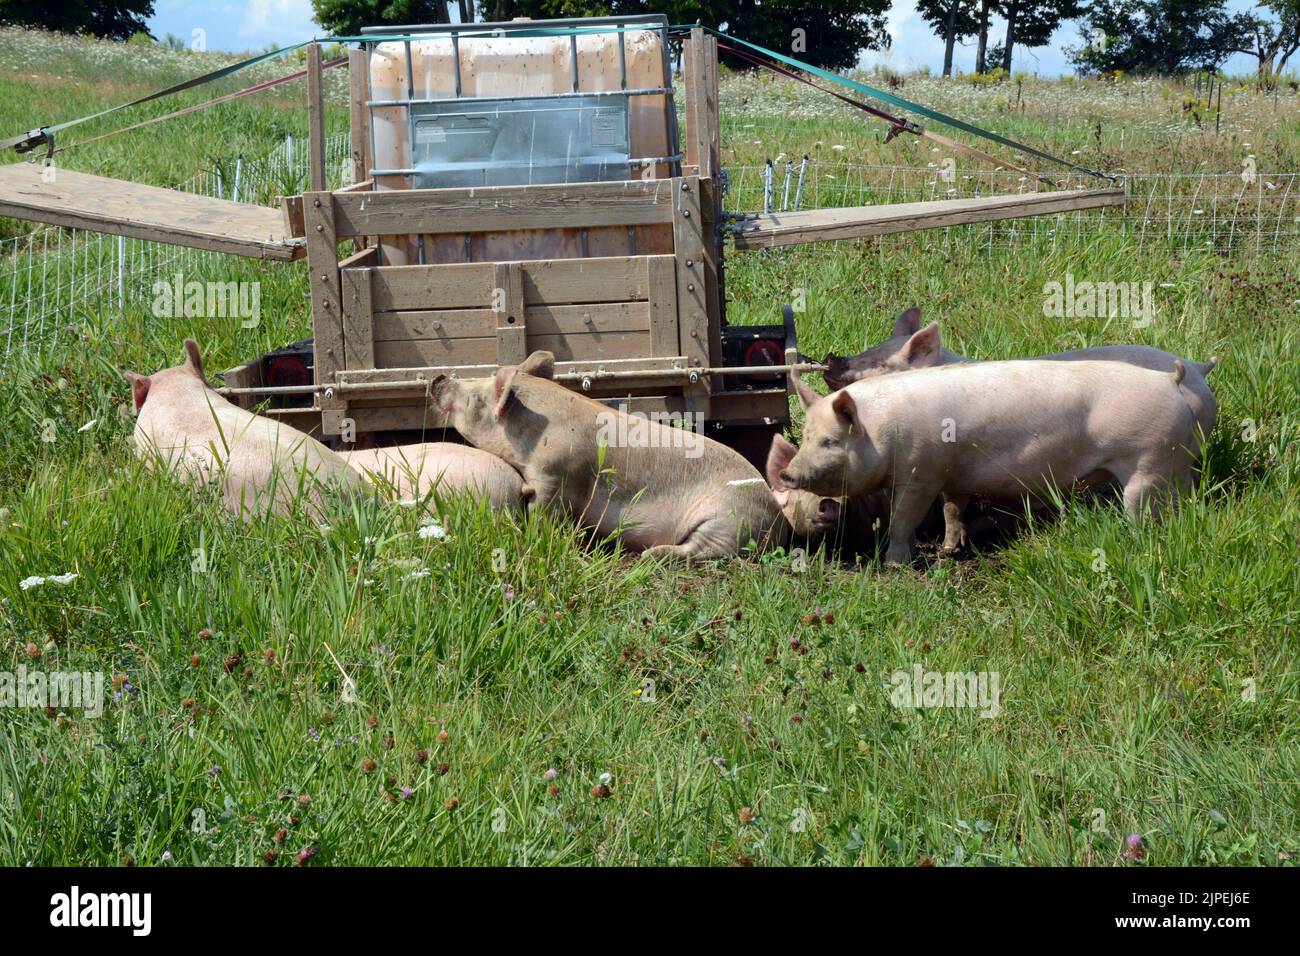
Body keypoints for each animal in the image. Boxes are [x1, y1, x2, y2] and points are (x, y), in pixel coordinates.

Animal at [431, 351, 785, 561]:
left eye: (475, 397)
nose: (439, 377)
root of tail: (778, 521)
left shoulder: (557, 476)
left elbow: (544, 513)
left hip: (729, 518)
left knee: (707, 551)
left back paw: (650, 555)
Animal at [780, 361, 1196, 564]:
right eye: (805, 438)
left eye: (830, 441)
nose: (786, 473)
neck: (881, 432)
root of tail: (1169, 381)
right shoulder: (953, 475)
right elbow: (951, 510)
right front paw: (948, 551)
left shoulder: (922, 474)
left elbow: (902, 518)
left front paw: (896, 564)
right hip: (1174, 465)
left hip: (1148, 462)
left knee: (1145, 509)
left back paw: (1140, 538)